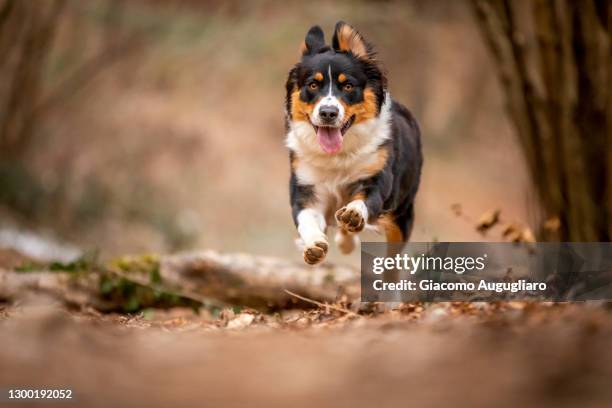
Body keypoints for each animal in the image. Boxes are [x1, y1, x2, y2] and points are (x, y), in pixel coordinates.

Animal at [286, 22, 420, 264]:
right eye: (313, 85)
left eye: (348, 86)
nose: (328, 113)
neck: (337, 156)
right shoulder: (306, 188)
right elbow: (307, 220)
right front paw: (313, 245)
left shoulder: (377, 179)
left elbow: (364, 200)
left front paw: (354, 214)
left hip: (403, 213)